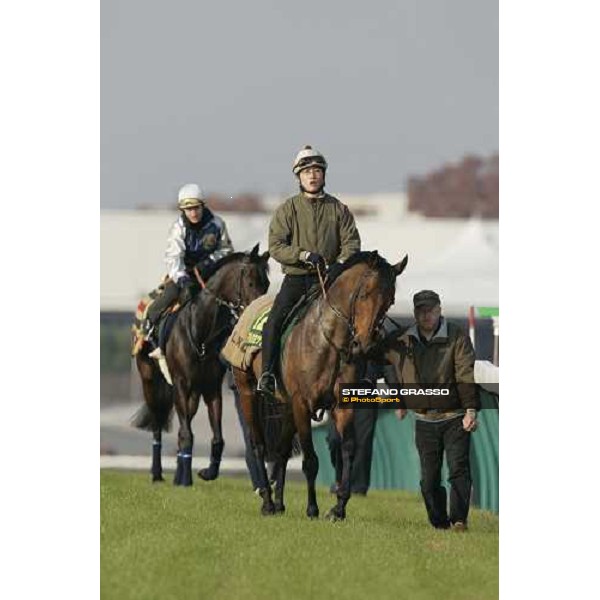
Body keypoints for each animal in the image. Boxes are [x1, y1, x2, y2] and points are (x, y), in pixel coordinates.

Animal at [135, 246, 270, 486]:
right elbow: (186, 434)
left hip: (193, 394)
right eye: (251, 282)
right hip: (149, 380)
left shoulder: (211, 388)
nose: (260, 315)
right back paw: (157, 473)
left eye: (267, 284)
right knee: (158, 424)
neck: (201, 334)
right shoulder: (180, 384)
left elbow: (217, 438)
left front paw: (208, 472)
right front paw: (186, 479)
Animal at [232, 250, 410, 520]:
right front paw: (312, 508)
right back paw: (268, 501)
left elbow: (349, 449)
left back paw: (279, 503)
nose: (365, 344)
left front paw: (339, 507)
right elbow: (310, 460)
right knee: (259, 445)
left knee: (282, 449)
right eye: (365, 294)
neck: (329, 341)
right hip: (247, 391)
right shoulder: (302, 404)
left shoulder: (341, 405)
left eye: (390, 301)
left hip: (286, 405)